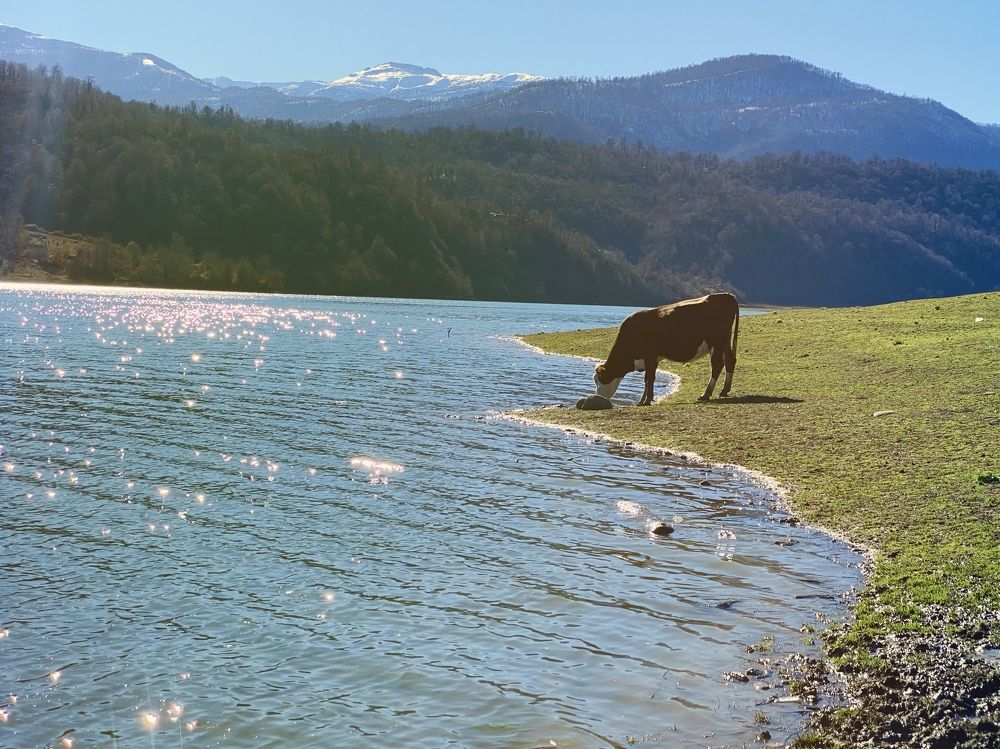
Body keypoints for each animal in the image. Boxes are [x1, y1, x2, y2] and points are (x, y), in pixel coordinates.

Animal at [594, 293, 739, 405]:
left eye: (599, 380)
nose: (598, 397)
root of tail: (726, 295)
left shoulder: (650, 356)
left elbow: (649, 378)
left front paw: (647, 401)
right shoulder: (652, 360)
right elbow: (648, 380)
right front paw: (642, 401)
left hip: (717, 341)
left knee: (717, 365)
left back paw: (706, 394)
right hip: (725, 340)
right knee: (730, 361)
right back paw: (724, 390)